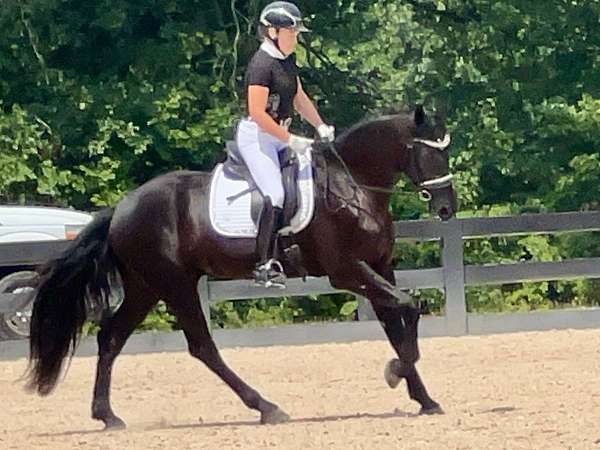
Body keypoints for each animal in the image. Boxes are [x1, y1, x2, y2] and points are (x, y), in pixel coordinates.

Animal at [25, 105, 458, 428]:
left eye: (446, 150)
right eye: (430, 152)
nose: (446, 209)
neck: (352, 185)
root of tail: (122, 208)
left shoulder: (380, 267)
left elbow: (396, 323)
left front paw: (423, 397)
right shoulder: (347, 271)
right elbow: (408, 308)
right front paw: (396, 371)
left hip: (145, 287)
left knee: (111, 338)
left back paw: (107, 416)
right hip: (175, 285)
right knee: (202, 347)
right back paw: (267, 408)